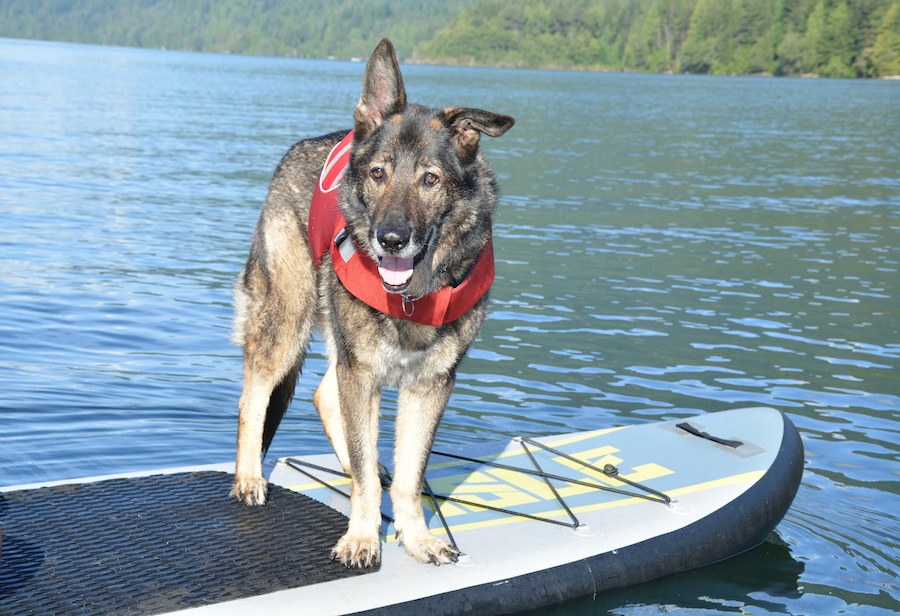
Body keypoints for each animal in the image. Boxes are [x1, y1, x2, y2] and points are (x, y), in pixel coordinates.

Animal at [230, 38, 512, 568]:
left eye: (430, 180)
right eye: (379, 174)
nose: (391, 239)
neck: (414, 297)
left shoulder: (428, 385)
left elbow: (409, 475)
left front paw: (417, 537)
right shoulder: (362, 373)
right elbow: (364, 473)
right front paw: (362, 537)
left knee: (326, 398)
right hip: (288, 321)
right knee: (253, 393)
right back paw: (249, 477)